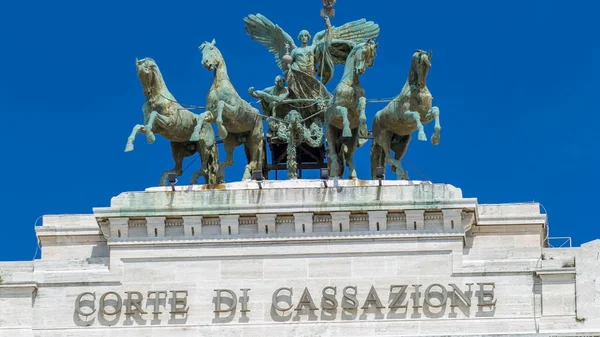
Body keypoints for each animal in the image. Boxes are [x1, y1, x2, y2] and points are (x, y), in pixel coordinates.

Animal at [197, 38, 264, 181]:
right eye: (201, 52)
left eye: (211, 48)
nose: (205, 63)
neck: (218, 85)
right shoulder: (211, 114)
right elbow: (204, 114)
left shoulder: (233, 112)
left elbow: (221, 105)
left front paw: (222, 130)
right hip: (231, 142)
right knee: (230, 161)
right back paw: (220, 176)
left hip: (255, 138)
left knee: (254, 161)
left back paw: (245, 177)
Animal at [326, 39, 378, 178]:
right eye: (364, 52)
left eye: (372, 56)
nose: (360, 70)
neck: (351, 83)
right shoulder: (337, 110)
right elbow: (344, 111)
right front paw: (346, 128)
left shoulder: (357, 106)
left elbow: (362, 104)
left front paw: (364, 127)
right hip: (330, 133)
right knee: (333, 153)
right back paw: (334, 172)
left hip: (353, 140)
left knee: (349, 156)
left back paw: (353, 175)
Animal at [370, 49, 440, 178]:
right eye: (419, 63)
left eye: (429, 65)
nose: (420, 85)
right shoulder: (406, 116)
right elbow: (416, 115)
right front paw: (422, 135)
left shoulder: (426, 117)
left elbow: (436, 110)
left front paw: (435, 138)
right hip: (384, 137)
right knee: (389, 159)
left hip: (403, 144)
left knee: (394, 164)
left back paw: (403, 174)